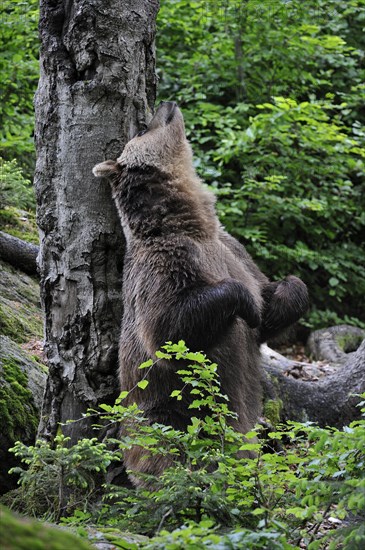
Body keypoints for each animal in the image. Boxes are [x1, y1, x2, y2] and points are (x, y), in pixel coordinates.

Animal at [93, 101, 308, 486]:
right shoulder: (164, 265)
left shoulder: (234, 252)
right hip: (167, 409)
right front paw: (247, 306)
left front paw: (281, 297)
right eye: (142, 129)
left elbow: (271, 300)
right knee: (169, 445)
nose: (166, 103)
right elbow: (168, 329)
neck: (191, 222)